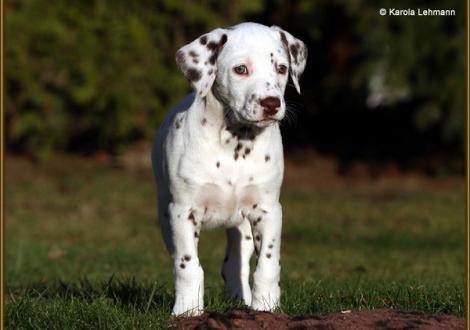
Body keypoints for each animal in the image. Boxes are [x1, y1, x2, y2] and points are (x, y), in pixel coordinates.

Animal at [152, 21, 308, 316]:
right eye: (241, 69)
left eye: (282, 68)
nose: (272, 103)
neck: (235, 142)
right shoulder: (182, 212)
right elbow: (188, 265)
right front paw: (187, 311)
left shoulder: (268, 211)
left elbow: (267, 264)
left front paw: (266, 307)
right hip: (166, 217)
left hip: (242, 227)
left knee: (236, 264)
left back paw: (242, 299)